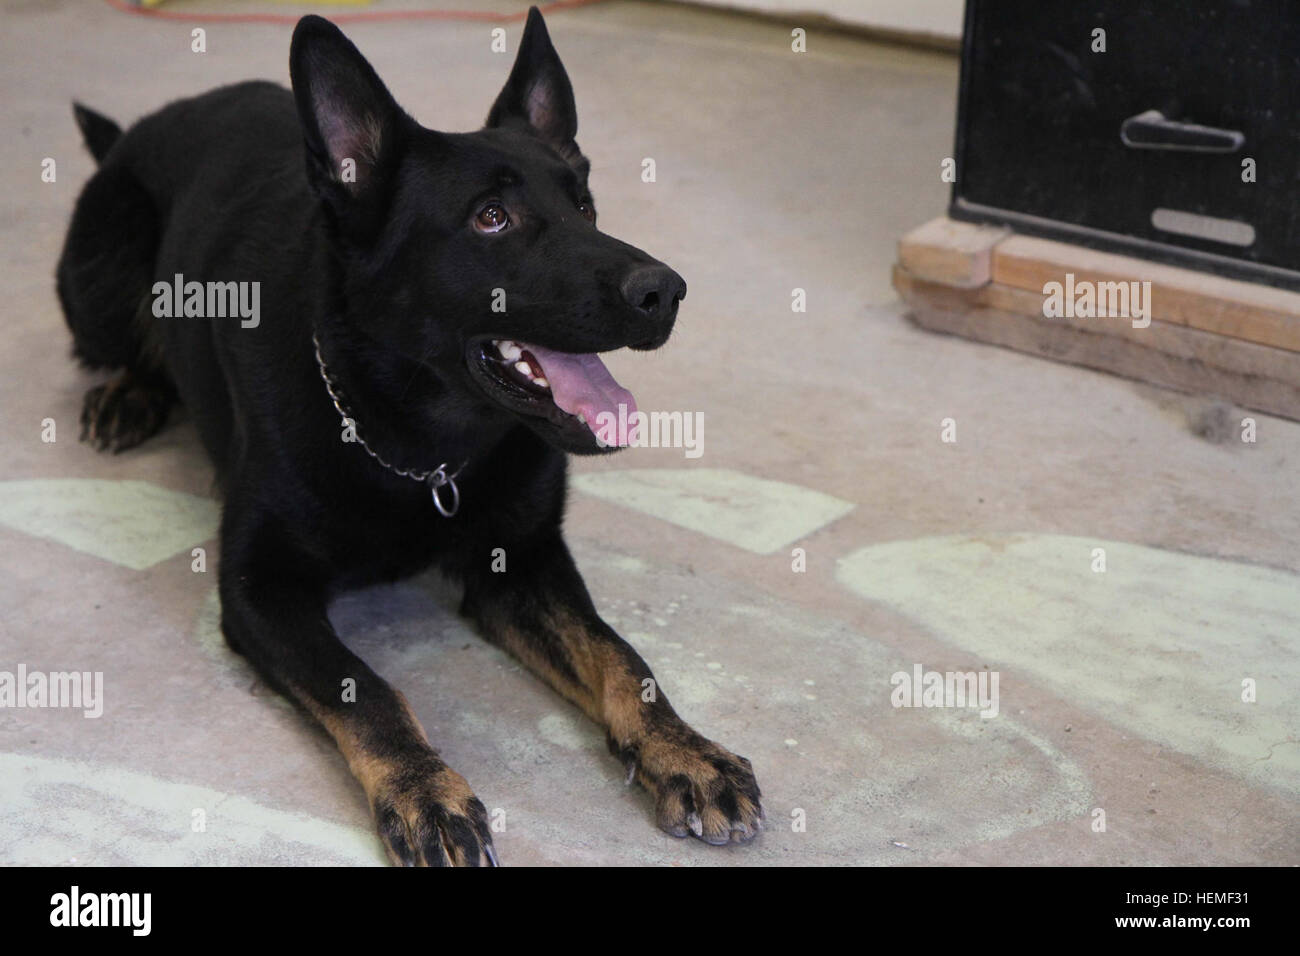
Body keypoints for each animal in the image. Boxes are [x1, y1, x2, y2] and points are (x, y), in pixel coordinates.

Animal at [55, 7, 759, 863]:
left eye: (587, 208)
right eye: (491, 218)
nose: (666, 291)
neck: (422, 448)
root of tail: (137, 128)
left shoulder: (522, 563)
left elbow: (620, 653)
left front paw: (684, 750)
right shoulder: (260, 588)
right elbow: (368, 689)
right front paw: (424, 788)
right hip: (97, 275)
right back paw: (129, 392)